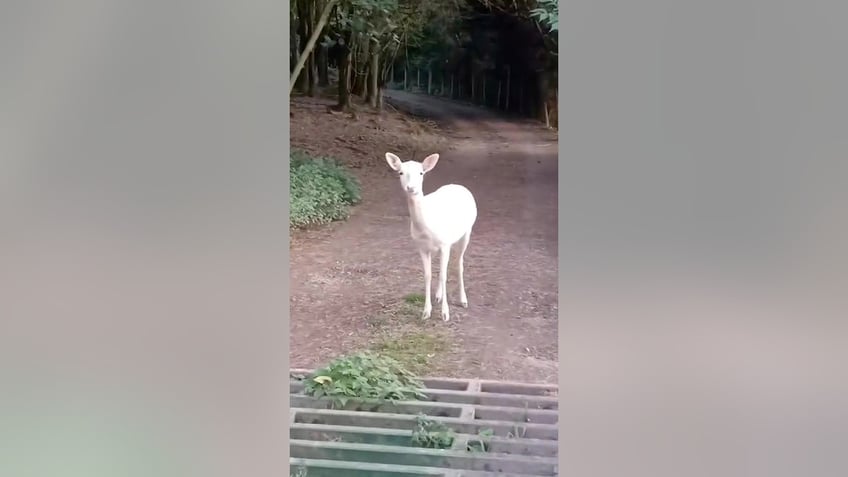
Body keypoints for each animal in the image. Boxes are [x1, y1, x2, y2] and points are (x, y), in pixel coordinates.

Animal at [384, 152, 476, 320]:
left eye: (421, 173)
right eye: (400, 172)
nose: (411, 188)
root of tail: (459, 186)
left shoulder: (445, 244)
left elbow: (444, 276)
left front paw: (445, 314)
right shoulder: (422, 247)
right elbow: (428, 275)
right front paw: (426, 312)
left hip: (467, 231)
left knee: (459, 264)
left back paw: (463, 300)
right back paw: (438, 296)